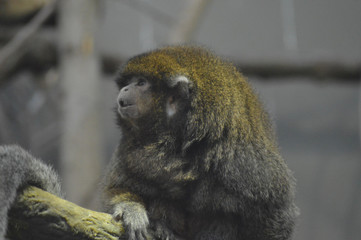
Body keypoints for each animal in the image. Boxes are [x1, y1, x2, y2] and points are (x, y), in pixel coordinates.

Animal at [102, 45, 298, 240]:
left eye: (141, 83)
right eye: (128, 82)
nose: (125, 89)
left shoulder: (241, 160)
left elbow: (277, 212)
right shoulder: (127, 150)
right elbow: (116, 188)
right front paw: (131, 209)